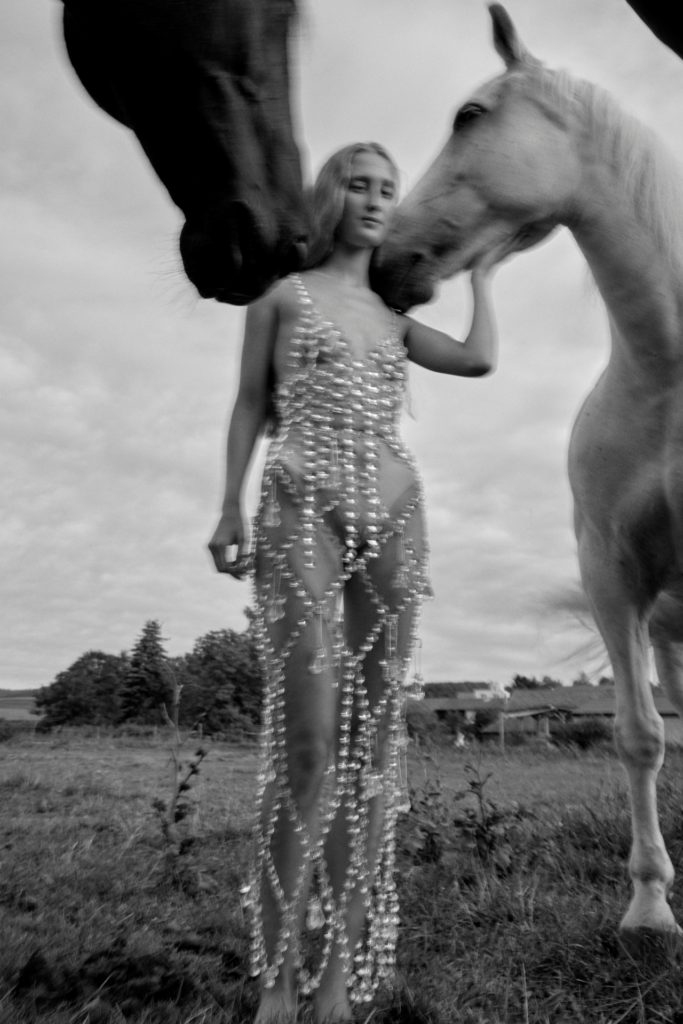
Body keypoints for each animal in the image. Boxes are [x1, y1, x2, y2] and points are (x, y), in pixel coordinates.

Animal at [376, 4, 683, 946]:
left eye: (468, 115)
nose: (384, 262)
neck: (669, 376)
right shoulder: (611, 579)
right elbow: (639, 736)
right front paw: (649, 907)